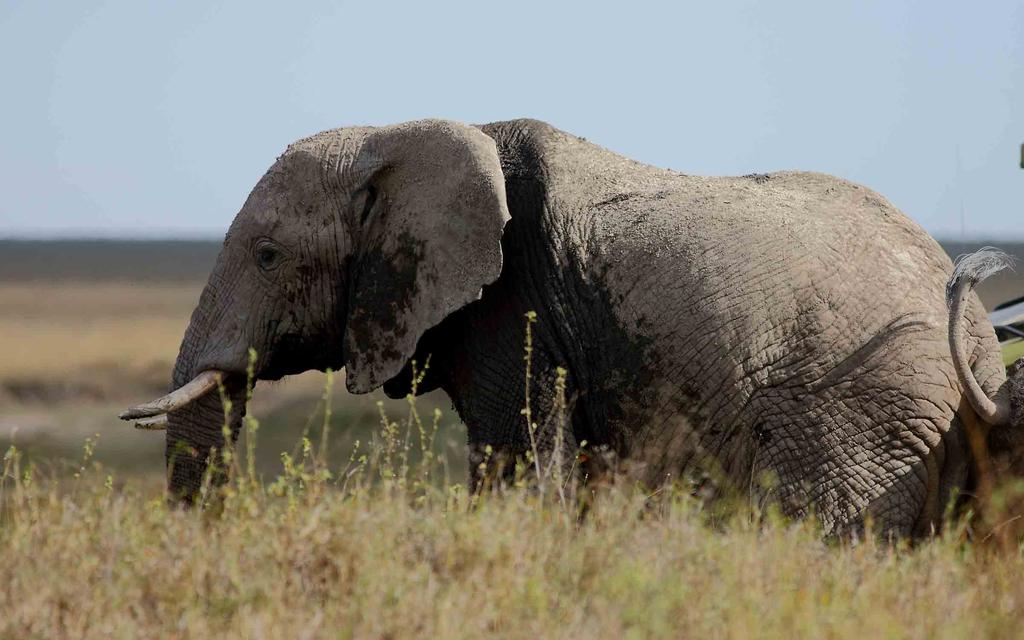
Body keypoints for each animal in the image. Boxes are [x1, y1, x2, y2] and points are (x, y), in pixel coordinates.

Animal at [121, 118, 1007, 532]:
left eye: (267, 255)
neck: (403, 135)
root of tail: (975, 331)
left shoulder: (513, 308)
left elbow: (519, 468)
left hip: (865, 410)